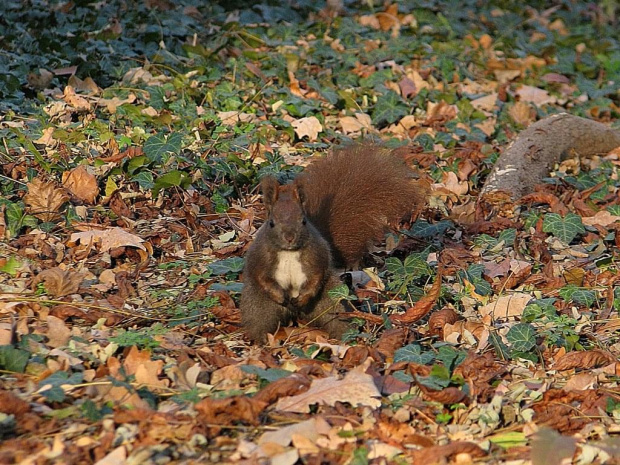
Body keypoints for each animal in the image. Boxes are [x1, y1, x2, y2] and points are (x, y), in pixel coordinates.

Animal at [240, 143, 428, 342]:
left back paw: (345, 336)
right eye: (271, 223)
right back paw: (262, 340)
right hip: (259, 305)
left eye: (303, 221)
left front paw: (303, 297)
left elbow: (317, 273)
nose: (289, 237)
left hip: (330, 300)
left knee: (337, 319)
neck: (289, 251)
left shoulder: (317, 252)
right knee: (260, 323)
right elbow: (261, 275)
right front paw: (280, 296)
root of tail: (298, 315)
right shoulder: (260, 255)